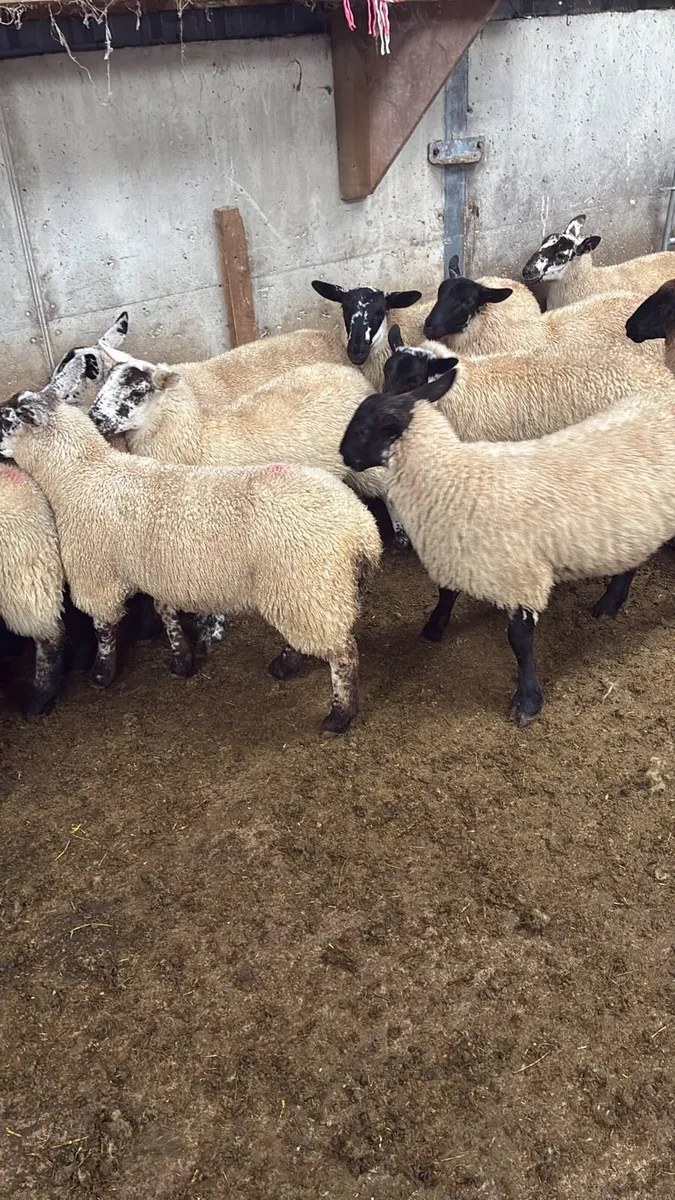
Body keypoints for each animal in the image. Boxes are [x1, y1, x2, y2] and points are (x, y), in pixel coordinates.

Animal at [0, 356, 382, 735]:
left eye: (5, 420)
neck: (80, 474)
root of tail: (361, 529)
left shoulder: (97, 575)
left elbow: (104, 628)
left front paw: (101, 674)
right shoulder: (159, 569)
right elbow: (165, 612)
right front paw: (181, 658)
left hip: (307, 586)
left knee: (344, 653)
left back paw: (339, 715)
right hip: (311, 593)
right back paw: (286, 664)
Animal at [339, 376, 675, 726]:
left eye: (363, 429)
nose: (342, 454)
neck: (452, 477)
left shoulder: (520, 577)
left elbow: (519, 640)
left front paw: (527, 701)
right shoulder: (457, 548)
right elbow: (447, 592)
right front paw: (435, 625)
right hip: (631, 527)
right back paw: (610, 603)